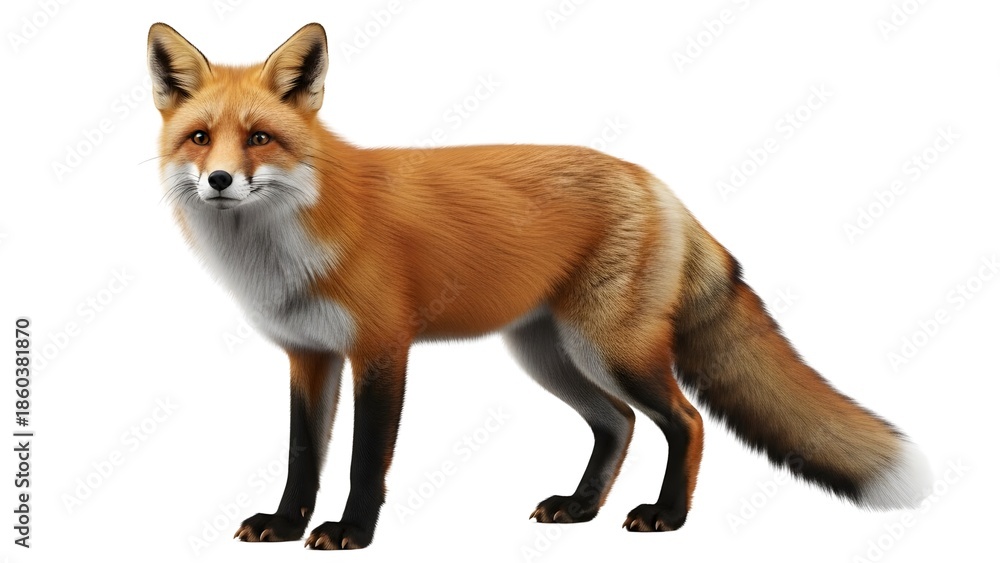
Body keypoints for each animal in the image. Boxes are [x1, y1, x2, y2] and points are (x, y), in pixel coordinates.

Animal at [147, 22, 932, 550]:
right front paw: (285, 524)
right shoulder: (308, 356)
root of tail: (657, 185)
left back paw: (668, 516)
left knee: (685, 420)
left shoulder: (381, 348)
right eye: (199, 138)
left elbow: (366, 459)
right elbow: (301, 456)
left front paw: (352, 531)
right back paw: (580, 508)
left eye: (259, 138)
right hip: (551, 355)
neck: (282, 246)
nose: (220, 181)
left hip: (613, 349)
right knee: (617, 424)